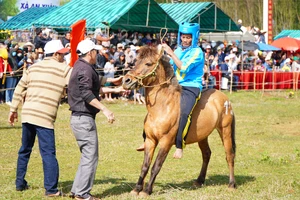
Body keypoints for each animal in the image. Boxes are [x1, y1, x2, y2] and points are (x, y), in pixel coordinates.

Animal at [122, 44, 237, 196]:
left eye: (148, 63)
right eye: (135, 62)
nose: (126, 81)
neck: (163, 106)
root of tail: (224, 98)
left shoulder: (165, 142)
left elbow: (156, 166)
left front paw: (147, 190)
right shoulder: (150, 140)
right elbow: (145, 165)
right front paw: (137, 189)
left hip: (225, 130)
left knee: (229, 155)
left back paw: (231, 184)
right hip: (203, 136)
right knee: (206, 154)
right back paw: (199, 181)